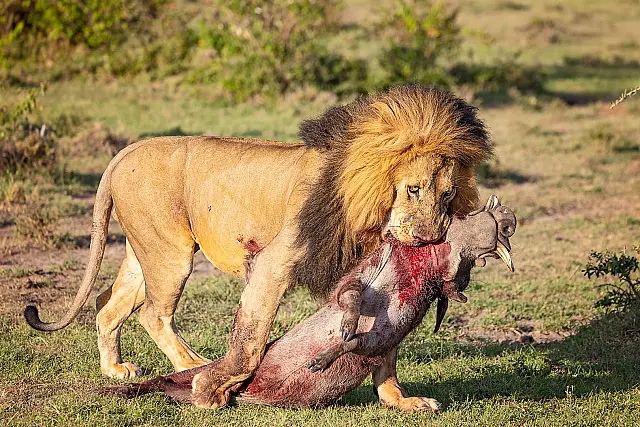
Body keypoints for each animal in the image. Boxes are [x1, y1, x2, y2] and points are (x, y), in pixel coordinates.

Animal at [24, 84, 493, 410]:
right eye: (413, 189)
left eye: (448, 195)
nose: (431, 237)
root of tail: (125, 151)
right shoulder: (272, 264)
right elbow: (250, 341)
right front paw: (212, 388)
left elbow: (385, 342)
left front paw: (400, 399)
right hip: (172, 255)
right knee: (153, 313)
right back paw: (193, 367)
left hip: (148, 252)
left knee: (108, 302)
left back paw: (115, 368)